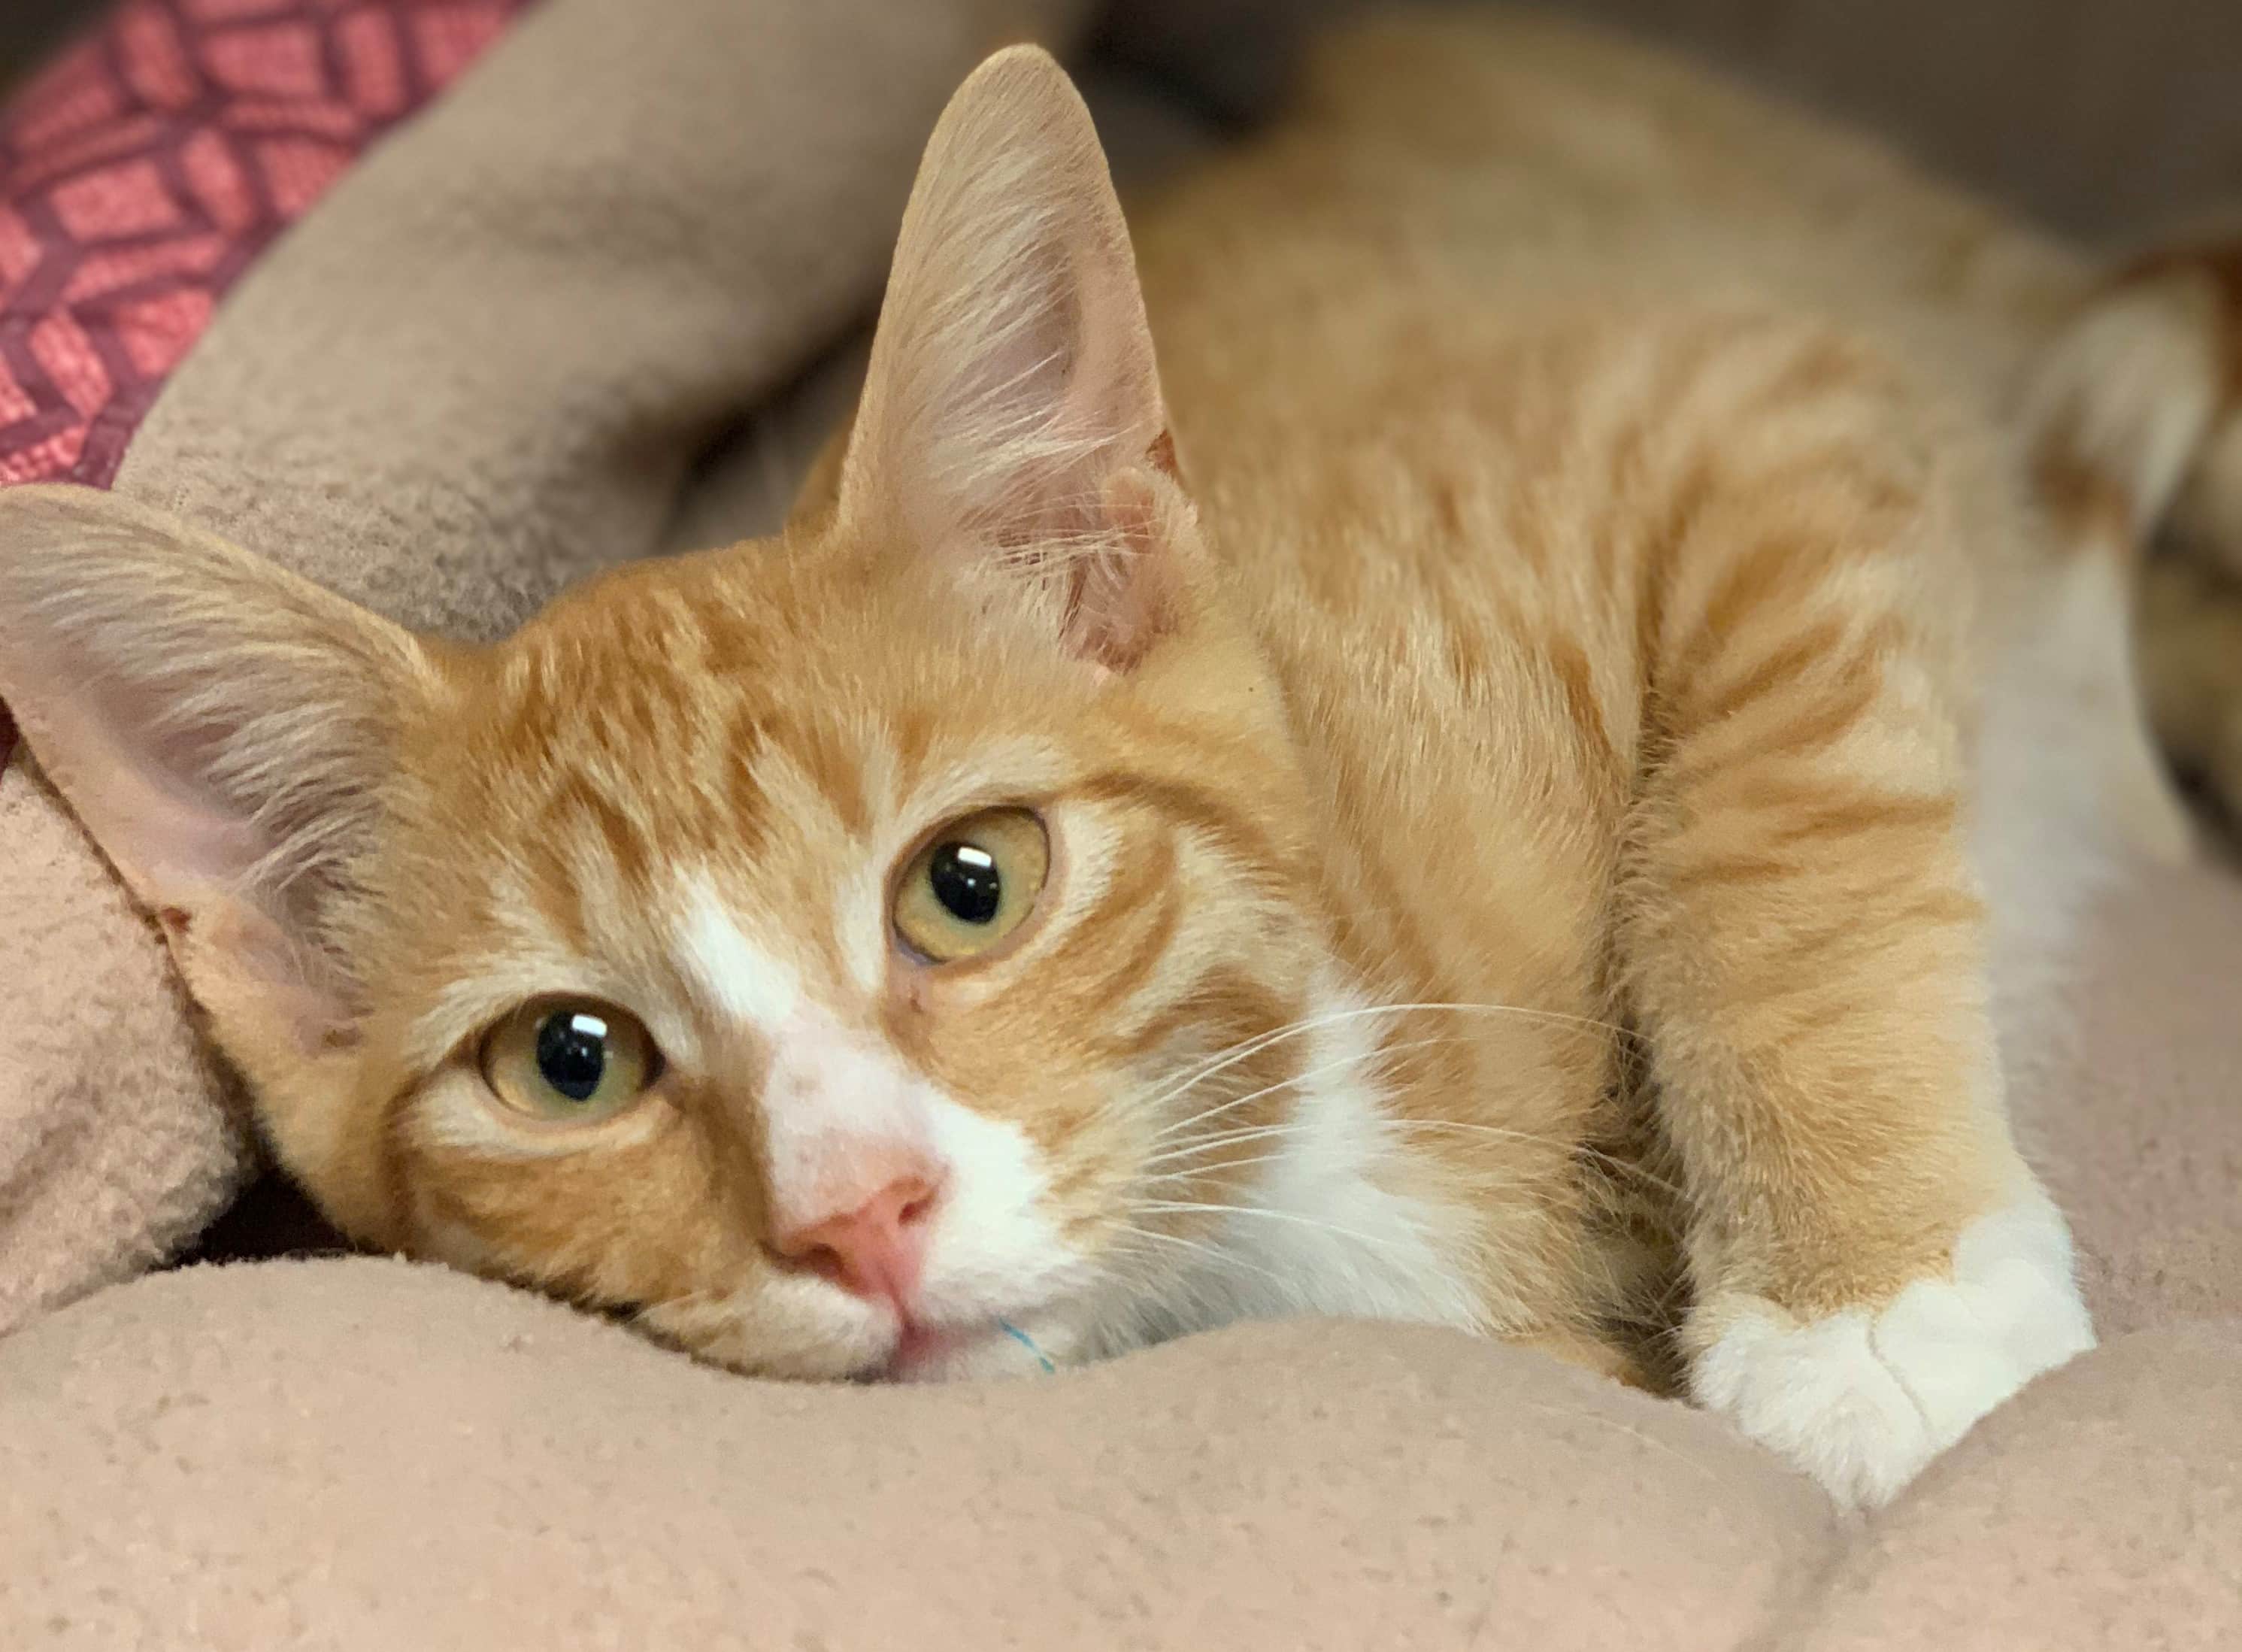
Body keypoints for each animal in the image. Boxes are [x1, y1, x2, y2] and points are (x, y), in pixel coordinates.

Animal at [4, 13, 2242, 1506]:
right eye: (570, 1061)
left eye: (968, 881)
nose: (860, 1214)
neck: (1283, 1165)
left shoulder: (1741, 399)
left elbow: (1761, 828)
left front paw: (1877, 1309)